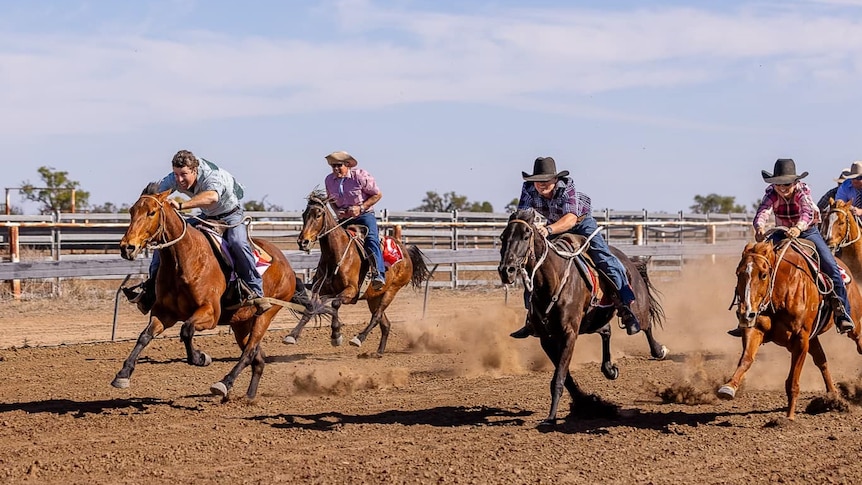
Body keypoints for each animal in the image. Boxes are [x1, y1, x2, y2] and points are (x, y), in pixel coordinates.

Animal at [115, 183, 324, 398]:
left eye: (151, 212)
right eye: (131, 211)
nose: (127, 247)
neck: (186, 259)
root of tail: (287, 267)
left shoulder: (210, 313)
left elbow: (186, 330)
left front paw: (200, 358)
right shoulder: (164, 313)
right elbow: (144, 336)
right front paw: (123, 374)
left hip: (266, 314)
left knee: (249, 352)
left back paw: (224, 383)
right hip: (241, 322)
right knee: (258, 358)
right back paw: (249, 397)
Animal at [290, 189, 436, 356]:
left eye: (318, 214)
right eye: (304, 215)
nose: (303, 242)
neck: (338, 254)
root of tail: (404, 250)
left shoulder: (351, 291)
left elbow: (334, 304)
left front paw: (336, 335)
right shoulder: (320, 290)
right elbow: (312, 308)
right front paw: (292, 335)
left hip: (391, 290)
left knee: (377, 316)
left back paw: (358, 338)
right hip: (374, 297)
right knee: (385, 323)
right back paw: (378, 352)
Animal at [496, 208, 672, 424]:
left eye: (526, 235)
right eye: (503, 237)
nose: (507, 270)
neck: (553, 280)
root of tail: (628, 261)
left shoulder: (569, 333)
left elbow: (559, 377)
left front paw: (551, 417)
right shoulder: (547, 338)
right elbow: (565, 377)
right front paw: (585, 403)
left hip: (637, 305)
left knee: (645, 326)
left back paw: (658, 350)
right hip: (593, 320)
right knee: (606, 330)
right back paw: (609, 369)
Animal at [720, 229, 862, 418]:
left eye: (763, 274)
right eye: (738, 273)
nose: (745, 314)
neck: (782, 292)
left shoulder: (800, 340)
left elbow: (792, 382)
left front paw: (789, 418)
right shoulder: (755, 329)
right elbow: (746, 359)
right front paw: (728, 387)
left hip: (854, 324)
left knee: (858, 344)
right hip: (812, 337)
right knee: (822, 361)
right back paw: (833, 397)